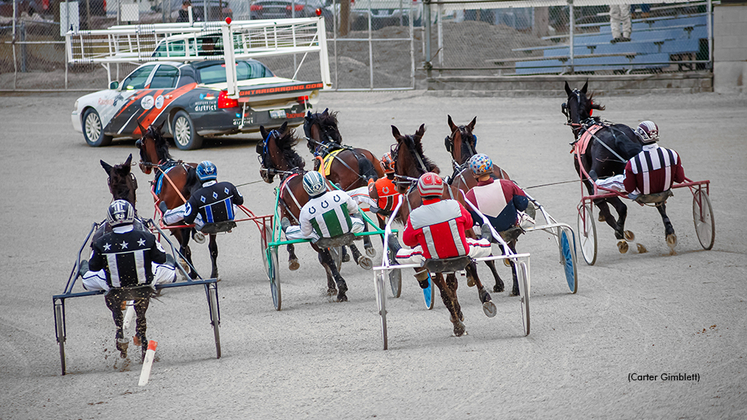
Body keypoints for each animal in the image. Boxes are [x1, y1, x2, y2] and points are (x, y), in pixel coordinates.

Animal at [135, 120, 228, 280]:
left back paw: (187, 268)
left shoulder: (175, 221)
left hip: (175, 221)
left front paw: (187, 270)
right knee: (212, 247)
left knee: (185, 246)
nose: (142, 165)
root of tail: (190, 171)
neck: (163, 164)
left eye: (140, 143)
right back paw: (213, 273)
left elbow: (185, 246)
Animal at [258, 121, 372, 302]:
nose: (263, 172)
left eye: (261, 148)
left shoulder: (287, 213)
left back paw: (341, 286)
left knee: (325, 256)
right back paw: (358, 258)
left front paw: (292, 259)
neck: (291, 172)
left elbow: (288, 234)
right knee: (345, 239)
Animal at [388, 123, 494, 336]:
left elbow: (443, 283)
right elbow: (453, 280)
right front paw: (458, 309)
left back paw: (456, 320)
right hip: (466, 232)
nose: (396, 182)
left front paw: (456, 314)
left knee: (440, 281)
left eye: (394, 157)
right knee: (469, 264)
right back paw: (482, 295)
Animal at [564, 82, 652, 253]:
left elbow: (603, 202)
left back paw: (620, 233)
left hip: (598, 176)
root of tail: (615, 135)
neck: (586, 125)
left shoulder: (587, 178)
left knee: (617, 206)